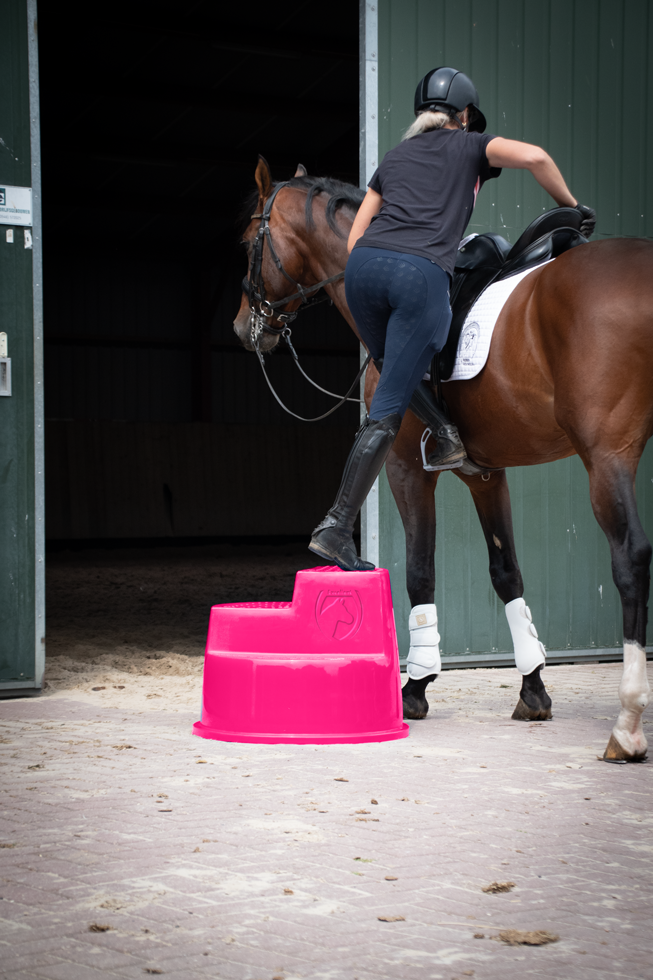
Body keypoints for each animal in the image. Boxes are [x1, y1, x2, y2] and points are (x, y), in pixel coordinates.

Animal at [233, 156, 653, 764]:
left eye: (249, 242)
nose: (245, 327)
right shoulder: (487, 475)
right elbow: (507, 573)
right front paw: (532, 687)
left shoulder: (406, 468)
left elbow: (420, 571)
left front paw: (416, 685)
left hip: (607, 458)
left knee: (630, 559)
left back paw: (627, 724)